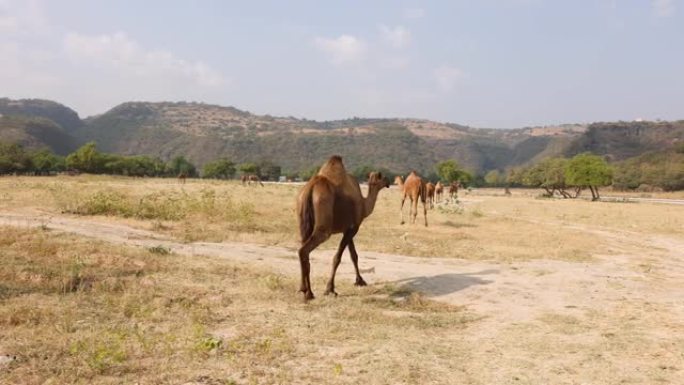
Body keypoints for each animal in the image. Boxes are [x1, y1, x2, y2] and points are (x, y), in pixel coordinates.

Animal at [296, 156, 390, 300]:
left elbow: (353, 255)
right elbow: (338, 258)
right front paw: (330, 289)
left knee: (304, 250)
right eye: (383, 177)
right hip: (324, 224)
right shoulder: (354, 227)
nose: (389, 181)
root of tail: (310, 188)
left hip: (303, 221)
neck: (364, 205)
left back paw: (305, 290)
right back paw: (308, 293)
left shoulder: (347, 228)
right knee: (303, 251)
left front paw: (360, 281)